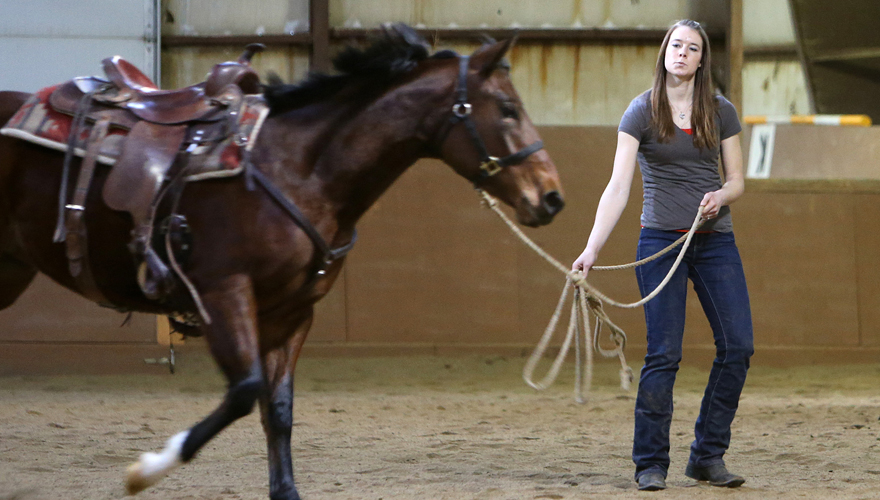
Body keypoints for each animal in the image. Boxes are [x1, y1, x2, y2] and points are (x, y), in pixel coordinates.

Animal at [0, 24, 564, 500]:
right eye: (507, 109)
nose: (552, 197)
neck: (297, 168)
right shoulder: (223, 294)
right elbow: (244, 391)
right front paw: (146, 470)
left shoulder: (290, 313)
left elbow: (279, 409)